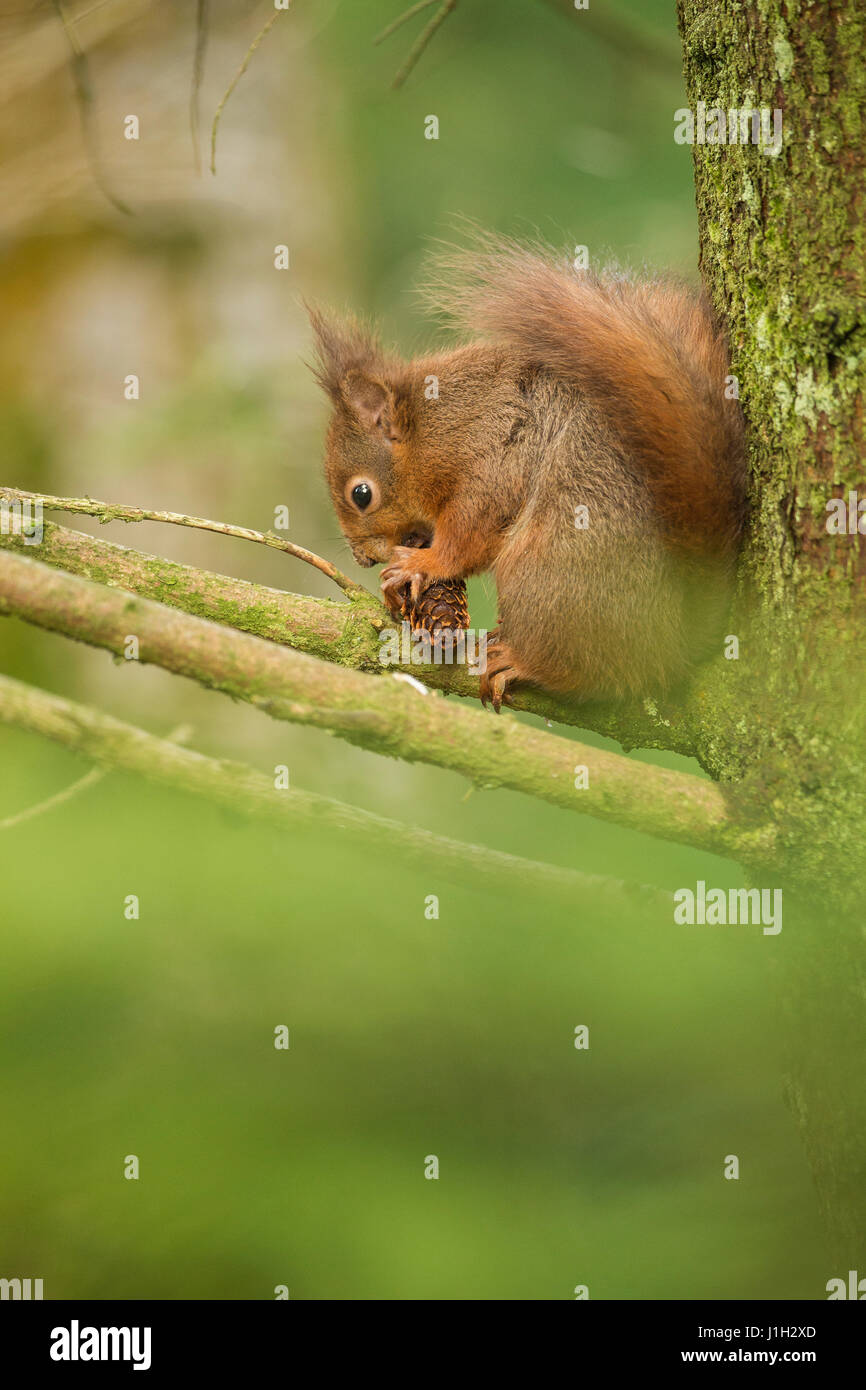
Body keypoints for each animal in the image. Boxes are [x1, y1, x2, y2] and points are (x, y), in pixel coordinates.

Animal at [308, 236, 750, 706]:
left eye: (361, 494)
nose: (363, 558)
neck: (433, 427)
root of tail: (675, 642)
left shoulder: (494, 456)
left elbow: (469, 536)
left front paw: (421, 563)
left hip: (546, 573)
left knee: (594, 674)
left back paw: (517, 661)